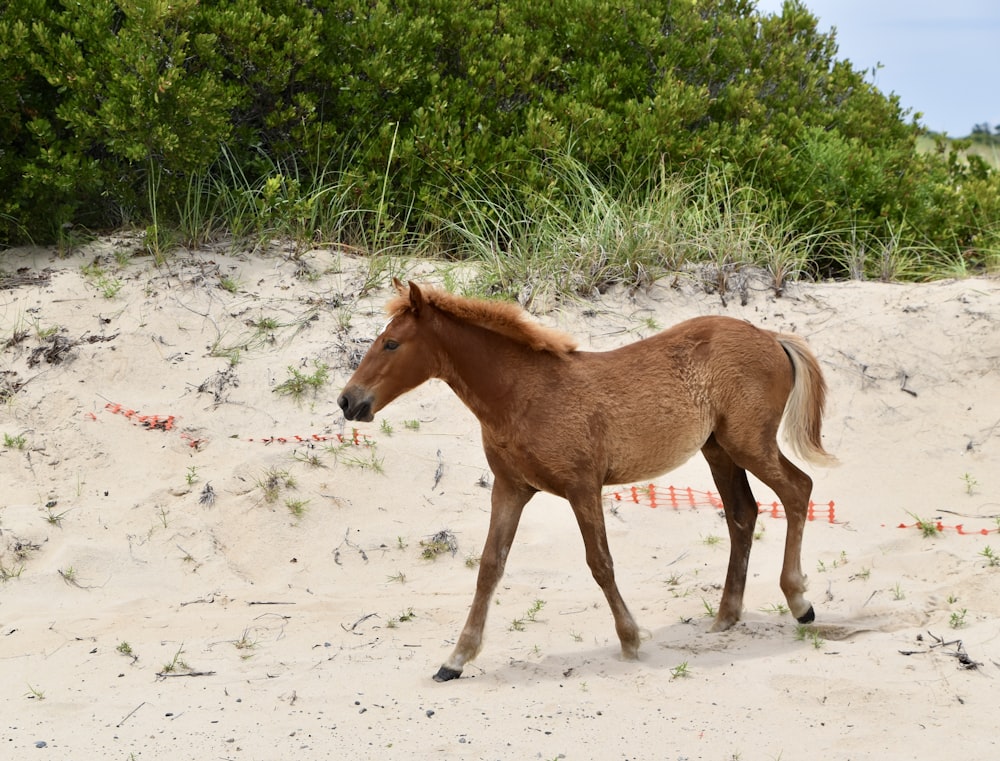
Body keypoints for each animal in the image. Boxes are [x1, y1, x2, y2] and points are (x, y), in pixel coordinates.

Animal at [338, 280, 836, 684]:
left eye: (391, 344)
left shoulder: (582, 487)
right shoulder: (510, 489)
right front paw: (456, 659)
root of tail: (770, 336)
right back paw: (726, 616)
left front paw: (631, 639)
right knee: (743, 514)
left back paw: (799, 602)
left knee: (798, 490)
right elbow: (489, 568)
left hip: (748, 444)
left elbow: (600, 563)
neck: (522, 395)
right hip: (719, 450)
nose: (348, 401)